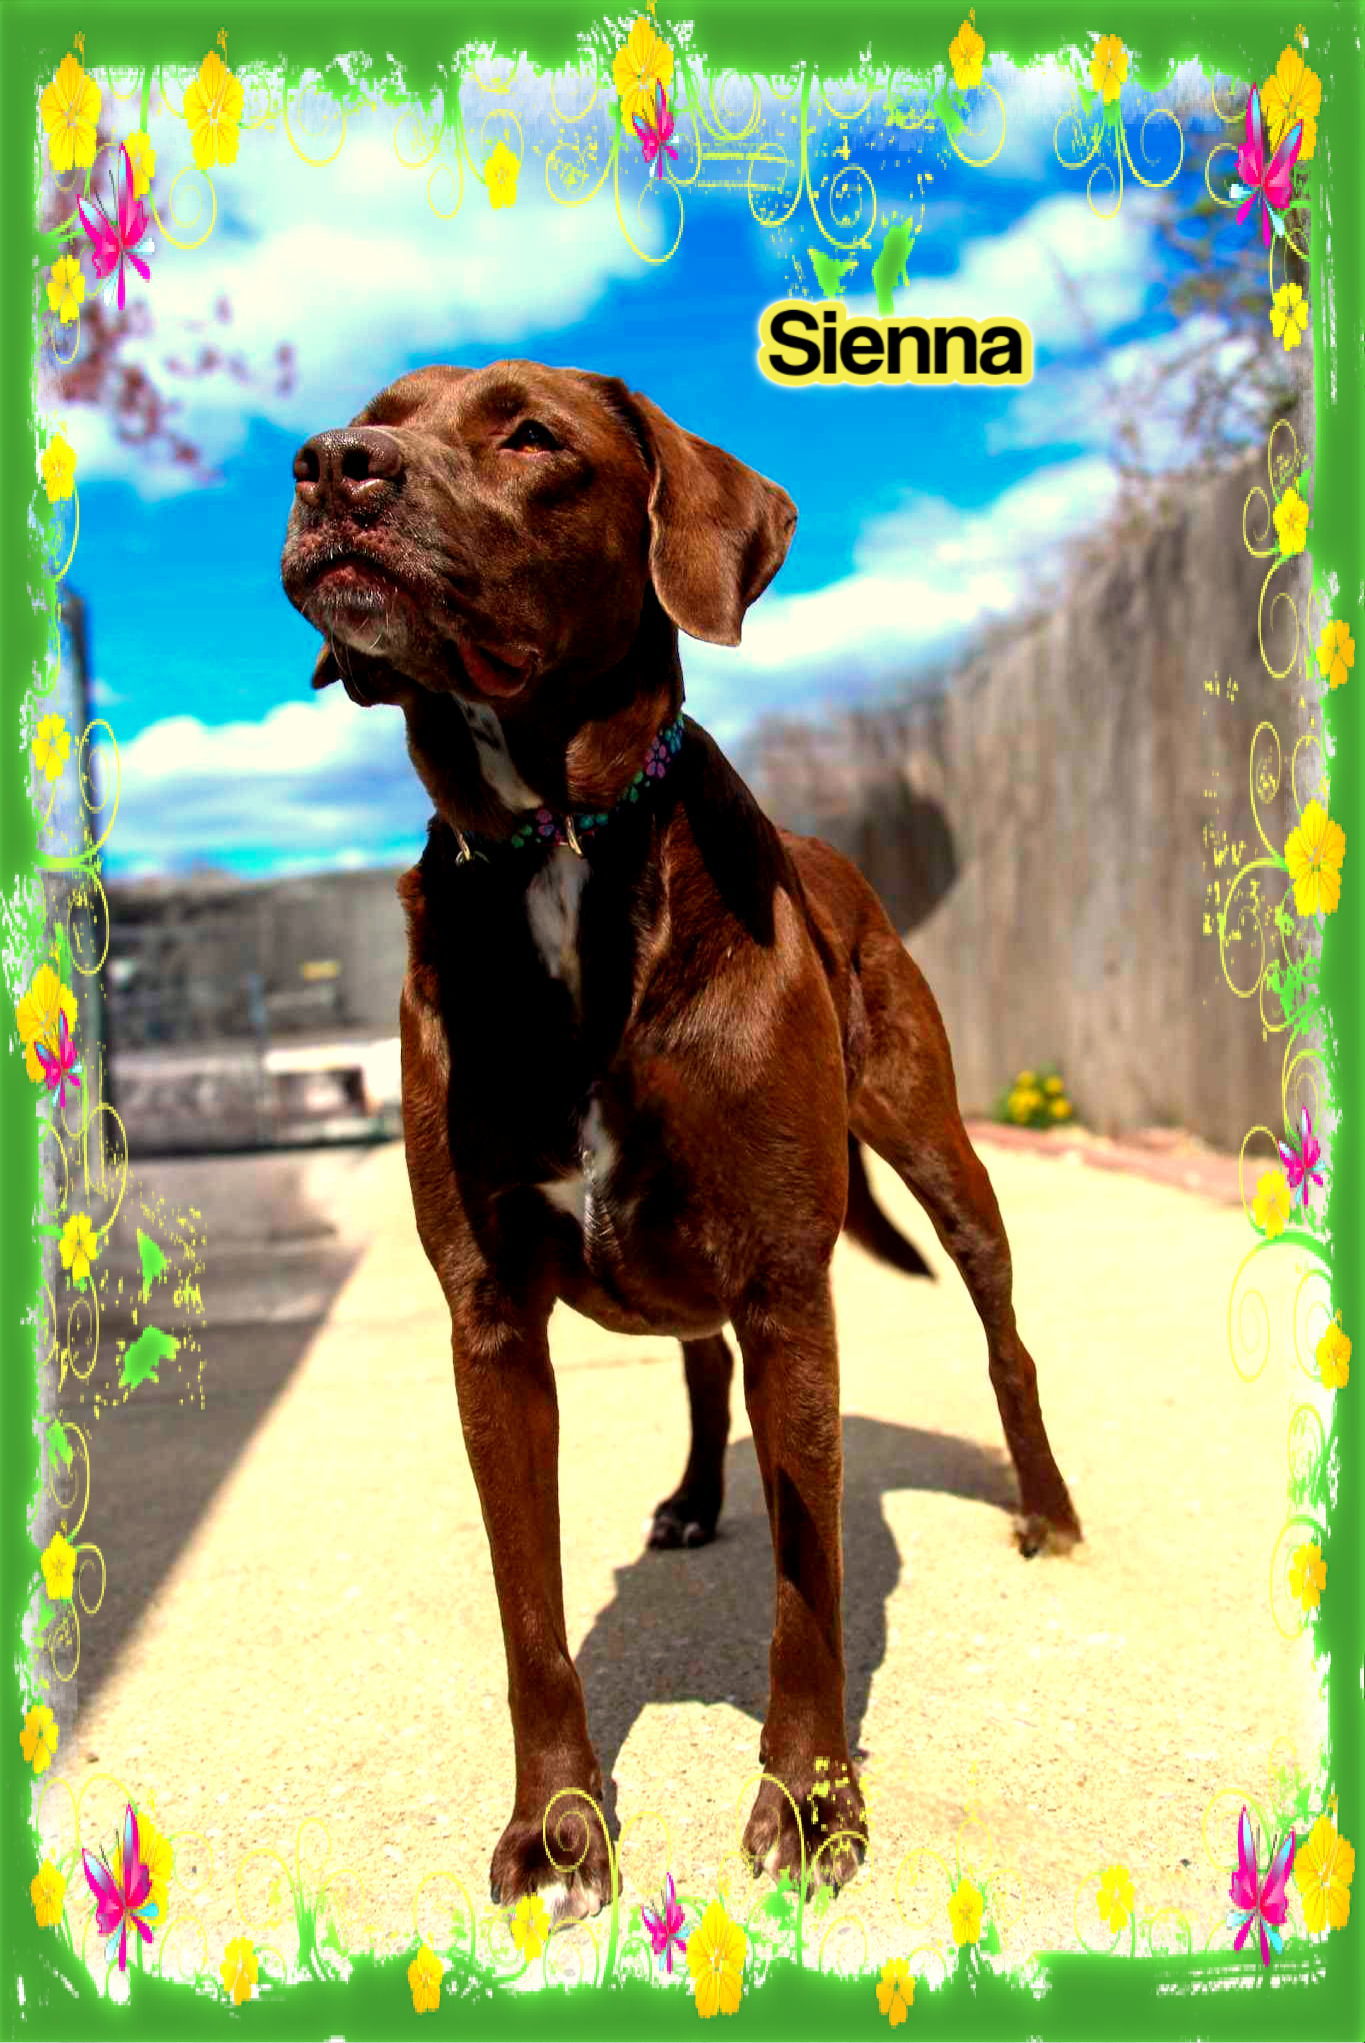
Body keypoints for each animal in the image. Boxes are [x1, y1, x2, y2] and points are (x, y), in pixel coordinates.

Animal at [281, 363, 1078, 1912]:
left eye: (530, 433)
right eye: (382, 407)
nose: (333, 465)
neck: (555, 845)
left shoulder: (786, 1289)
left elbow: (807, 1593)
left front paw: (812, 1805)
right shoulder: (489, 1323)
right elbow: (529, 1614)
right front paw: (558, 1826)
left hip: (938, 1149)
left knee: (1003, 1329)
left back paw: (1047, 1507)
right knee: (700, 1365)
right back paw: (699, 1497)